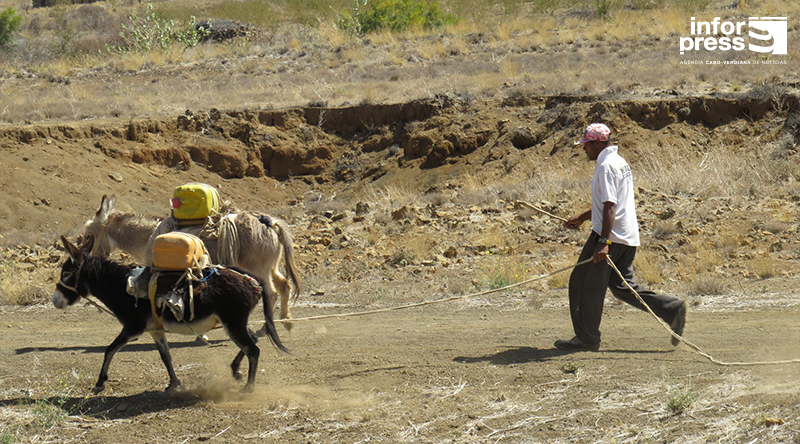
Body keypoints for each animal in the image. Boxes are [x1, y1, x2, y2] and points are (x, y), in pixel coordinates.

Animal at [53, 236, 289, 393]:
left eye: (67, 273)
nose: (55, 301)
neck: (122, 286)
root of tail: (250, 278)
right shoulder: (155, 330)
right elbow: (166, 357)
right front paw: (173, 384)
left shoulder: (133, 327)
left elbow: (110, 349)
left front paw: (100, 381)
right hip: (235, 322)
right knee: (253, 339)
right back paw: (236, 370)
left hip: (233, 323)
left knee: (253, 349)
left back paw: (248, 387)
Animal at [83, 195, 301, 330]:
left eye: (88, 236)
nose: (85, 259)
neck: (147, 237)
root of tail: (272, 223)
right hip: (270, 265)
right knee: (284, 285)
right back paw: (286, 321)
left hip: (258, 268)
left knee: (271, 293)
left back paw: (266, 328)